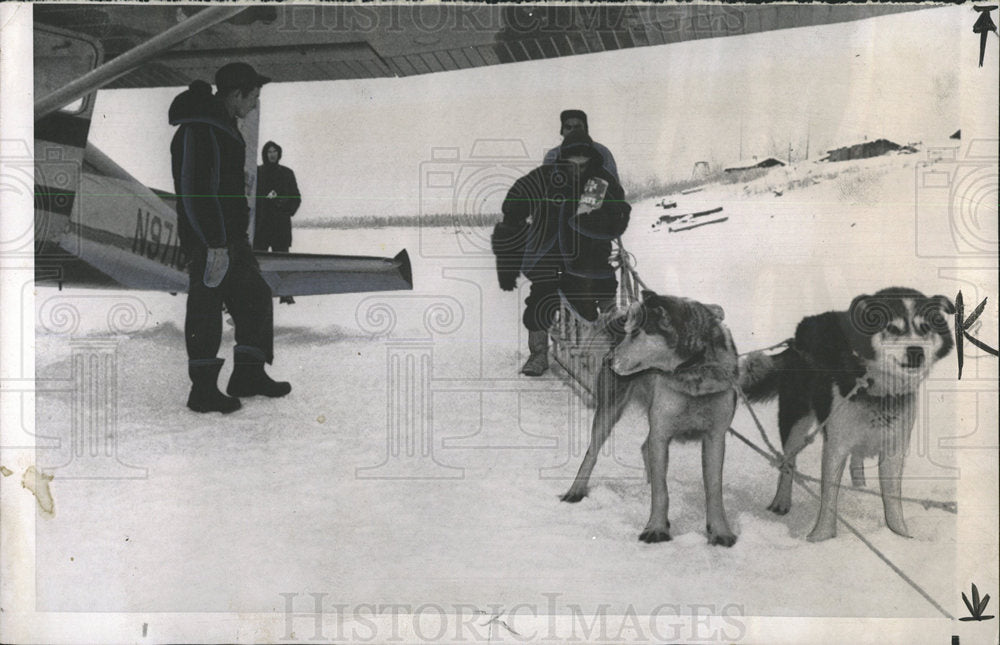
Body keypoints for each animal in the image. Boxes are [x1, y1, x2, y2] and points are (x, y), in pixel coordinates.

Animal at [564, 290, 744, 544]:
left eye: (637, 332)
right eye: (629, 332)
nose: (608, 360)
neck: (693, 374)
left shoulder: (715, 436)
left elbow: (714, 489)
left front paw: (720, 531)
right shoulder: (661, 432)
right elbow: (661, 491)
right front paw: (656, 528)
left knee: (644, 448)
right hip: (610, 411)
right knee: (592, 453)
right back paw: (576, 490)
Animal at [744, 286, 952, 540]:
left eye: (924, 328)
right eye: (892, 328)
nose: (916, 352)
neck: (877, 390)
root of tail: (799, 334)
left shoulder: (894, 447)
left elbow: (892, 499)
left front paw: (901, 535)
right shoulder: (836, 446)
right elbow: (828, 497)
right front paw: (820, 538)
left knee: (857, 458)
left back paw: (860, 487)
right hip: (795, 422)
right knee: (788, 462)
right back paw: (781, 501)